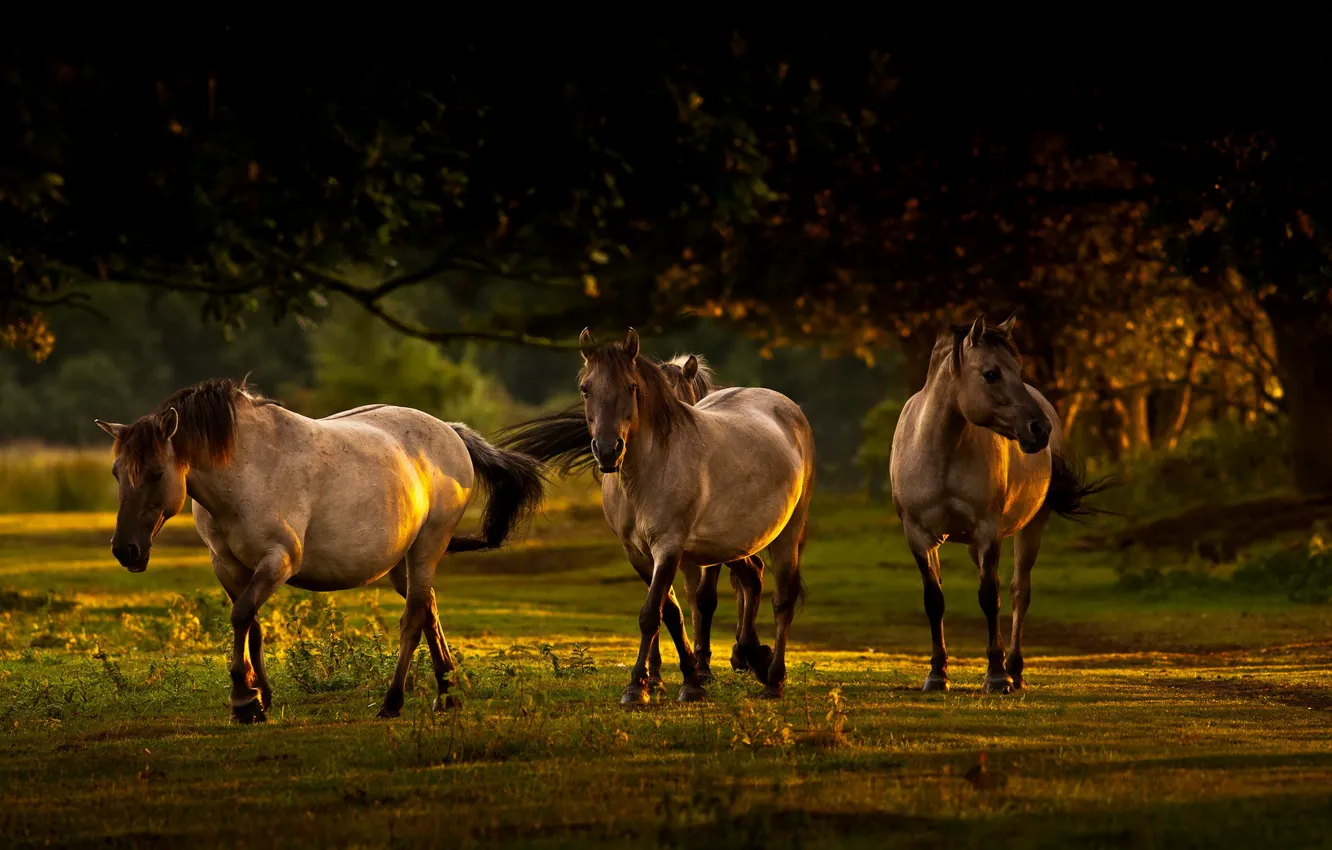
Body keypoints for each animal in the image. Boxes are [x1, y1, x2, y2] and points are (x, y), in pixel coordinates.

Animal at [92, 378, 546, 724]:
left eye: (155, 473)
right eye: (116, 472)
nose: (126, 550)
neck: (247, 470)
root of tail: (451, 432)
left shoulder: (279, 560)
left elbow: (241, 617)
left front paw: (244, 701)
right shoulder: (228, 567)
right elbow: (251, 624)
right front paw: (261, 697)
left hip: (426, 548)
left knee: (414, 619)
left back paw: (392, 702)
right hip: (403, 562)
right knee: (429, 609)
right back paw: (446, 695)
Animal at [498, 330, 815, 703]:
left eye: (632, 386)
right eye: (586, 388)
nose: (608, 450)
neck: (646, 473)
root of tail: (788, 408)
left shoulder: (669, 546)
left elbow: (653, 613)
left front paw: (638, 686)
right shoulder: (637, 552)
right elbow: (671, 612)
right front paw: (687, 680)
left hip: (788, 532)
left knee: (783, 600)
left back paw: (773, 680)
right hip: (735, 542)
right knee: (752, 579)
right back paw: (754, 658)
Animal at [889, 317, 1118, 698]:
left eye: (1018, 369)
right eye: (991, 374)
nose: (1039, 429)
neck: (940, 453)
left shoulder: (988, 532)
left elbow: (990, 597)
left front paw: (996, 676)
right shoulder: (918, 535)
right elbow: (934, 600)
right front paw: (937, 674)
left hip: (1030, 529)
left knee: (1018, 591)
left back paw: (1015, 670)